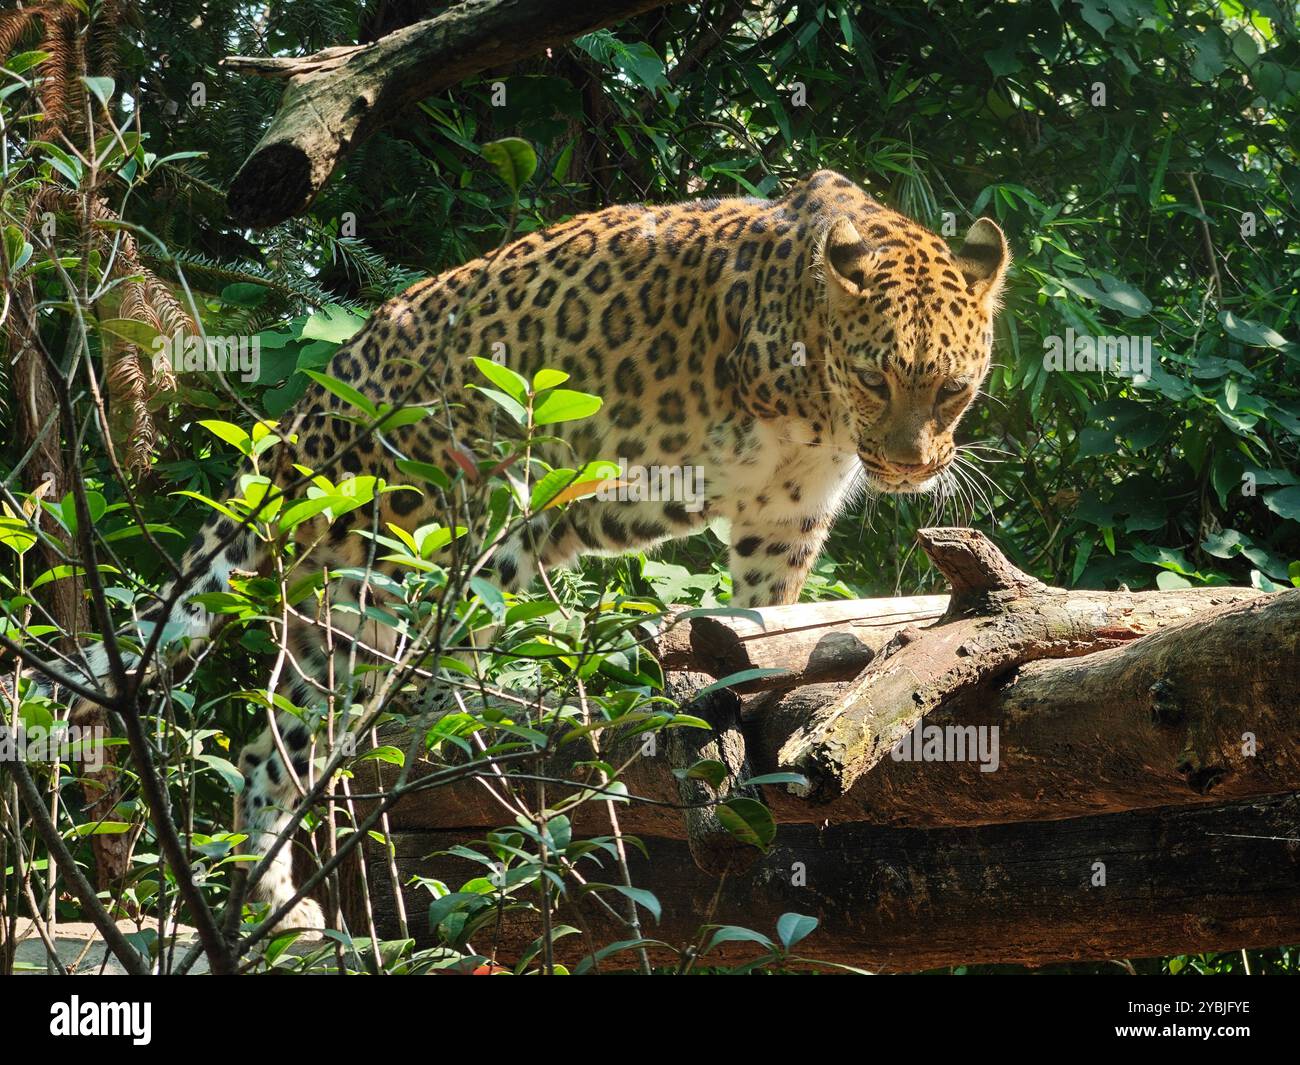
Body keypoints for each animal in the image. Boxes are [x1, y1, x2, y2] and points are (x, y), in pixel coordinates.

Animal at [30, 168, 1009, 937]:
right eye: (879, 377)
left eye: (954, 389)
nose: (911, 465)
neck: (820, 399)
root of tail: (330, 387)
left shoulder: (787, 514)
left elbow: (766, 608)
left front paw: (760, 662)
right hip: (453, 527)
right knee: (412, 689)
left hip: (348, 602)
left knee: (278, 743)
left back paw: (279, 903)